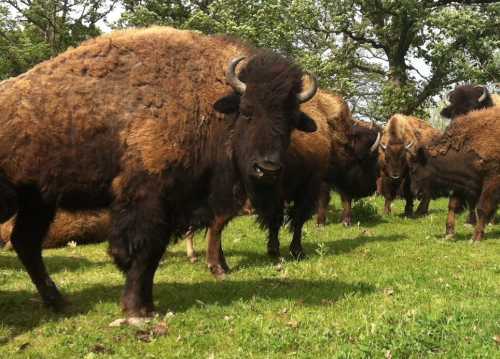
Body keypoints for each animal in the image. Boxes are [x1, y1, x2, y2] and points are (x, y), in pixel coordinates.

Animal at [0, 26, 318, 318]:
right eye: (248, 111)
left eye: (291, 121)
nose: (268, 168)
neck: (206, 100)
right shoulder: (146, 197)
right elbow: (141, 249)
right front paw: (136, 311)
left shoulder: (173, 204)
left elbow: (153, 254)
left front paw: (147, 306)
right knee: (26, 242)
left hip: (38, 199)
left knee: (26, 242)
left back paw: (59, 302)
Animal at [410, 107, 500, 242]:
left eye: (414, 168)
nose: (416, 192)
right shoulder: (463, 183)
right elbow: (452, 205)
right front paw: (449, 234)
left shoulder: (491, 181)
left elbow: (482, 207)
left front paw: (475, 238)